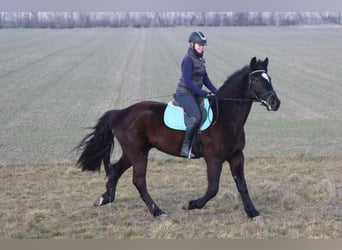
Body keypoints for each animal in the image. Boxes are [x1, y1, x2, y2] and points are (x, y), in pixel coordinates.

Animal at [75, 57, 280, 218]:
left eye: (269, 79)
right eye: (255, 79)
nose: (275, 103)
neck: (226, 116)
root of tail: (120, 113)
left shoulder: (237, 156)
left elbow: (242, 185)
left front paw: (253, 213)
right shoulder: (214, 159)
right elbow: (213, 188)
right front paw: (190, 205)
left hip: (132, 152)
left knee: (116, 170)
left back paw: (105, 198)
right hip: (138, 154)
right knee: (139, 181)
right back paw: (158, 212)